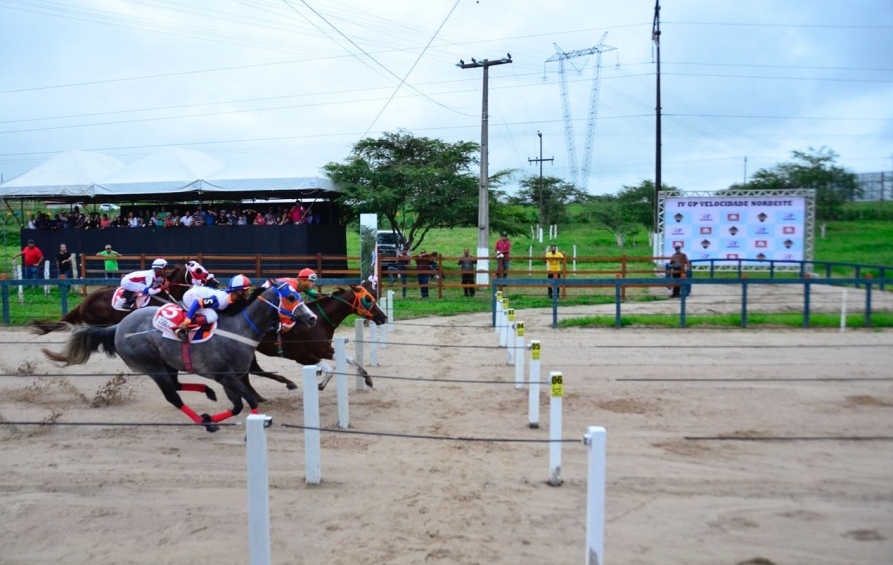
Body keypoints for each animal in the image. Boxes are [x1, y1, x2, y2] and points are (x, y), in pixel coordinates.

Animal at [42, 281, 318, 432]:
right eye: (291, 297)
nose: (313, 318)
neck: (240, 328)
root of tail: (118, 327)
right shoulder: (226, 376)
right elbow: (246, 401)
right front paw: (218, 418)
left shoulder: (231, 378)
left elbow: (240, 404)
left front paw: (213, 412)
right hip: (152, 366)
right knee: (172, 396)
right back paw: (207, 423)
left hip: (167, 364)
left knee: (177, 385)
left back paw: (207, 395)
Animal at [240, 282, 388, 401]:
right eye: (368, 299)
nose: (384, 317)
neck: (319, 321)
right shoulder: (303, 357)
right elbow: (330, 369)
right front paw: (320, 385)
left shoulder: (324, 350)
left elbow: (349, 359)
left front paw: (368, 379)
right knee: (250, 372)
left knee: (250, 372)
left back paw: (260, 396)